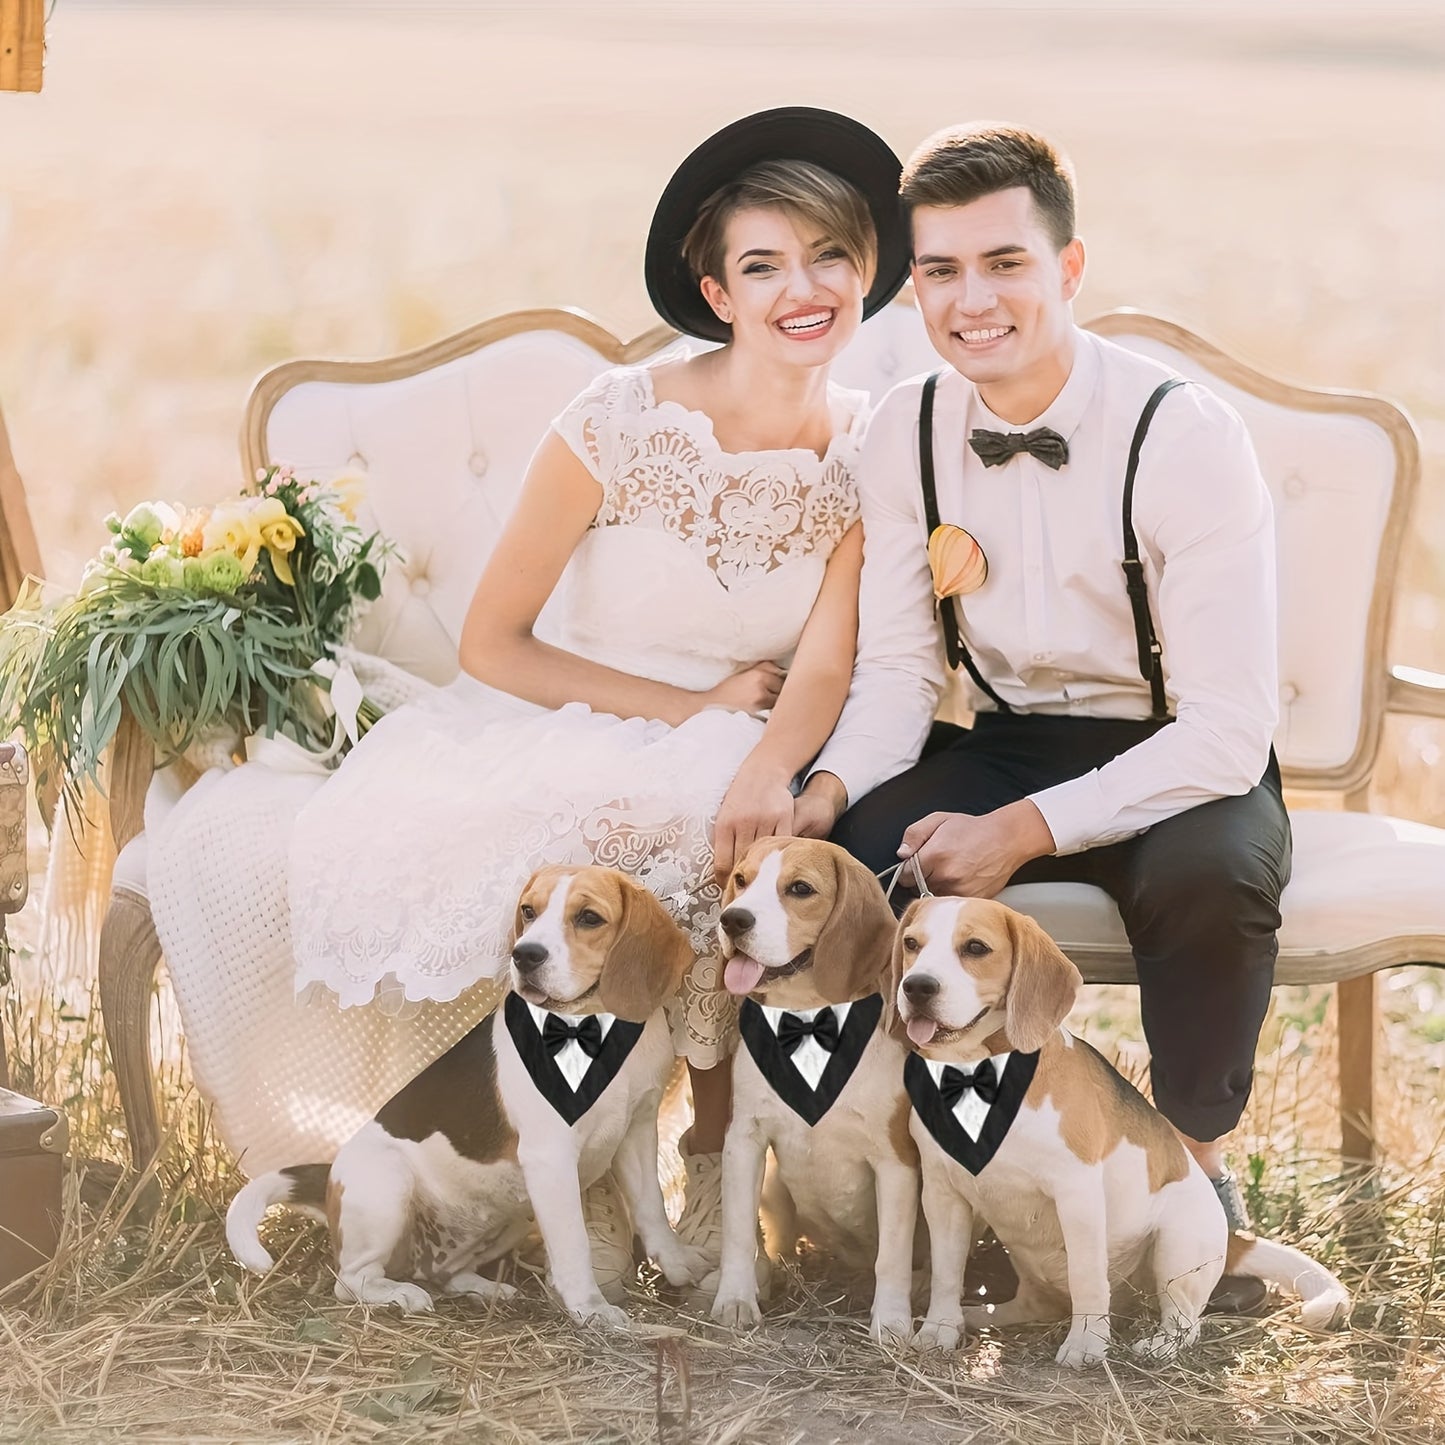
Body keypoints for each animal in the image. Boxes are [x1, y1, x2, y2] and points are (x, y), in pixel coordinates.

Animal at [223, 861, 710, 1323]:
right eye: (528, 911)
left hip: (512, 1213)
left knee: (445, 1273)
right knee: (352, 1279)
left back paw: (484, 1289)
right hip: (388, 1186)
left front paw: (677, 1264)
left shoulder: (638, 1128)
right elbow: (574, 1244)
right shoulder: (551, 1157)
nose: (524, 955)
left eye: (589, 918)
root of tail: (330, 1177)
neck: (590, 1025)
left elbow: (651, 1207)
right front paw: (589, 1308)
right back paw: (400, 1294)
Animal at [708, 838, 913, 1340]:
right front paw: (736, 1299)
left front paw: (892, 1322)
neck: (806, 1021)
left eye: (800, 889)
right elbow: (739, 1231)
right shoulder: (744, 1140)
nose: (732, 920)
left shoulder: (897, 1162)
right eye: (741, 879)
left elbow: (893, 1256)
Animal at [895, 890, 1346, 1364]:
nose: (917, 987)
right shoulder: (943, 1193)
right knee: (1036, 1303)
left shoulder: (1076, 1193)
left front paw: (1086, 1344)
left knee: (1185, 1319)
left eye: (975, 948)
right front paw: (940, 1330)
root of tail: (1229, 1234)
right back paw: (980, 1315)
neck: (977, 1074)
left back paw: (1159, 1346)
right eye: (911, 944)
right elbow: (947, 1272)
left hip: (1176, 1242)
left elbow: (1087, 1276)